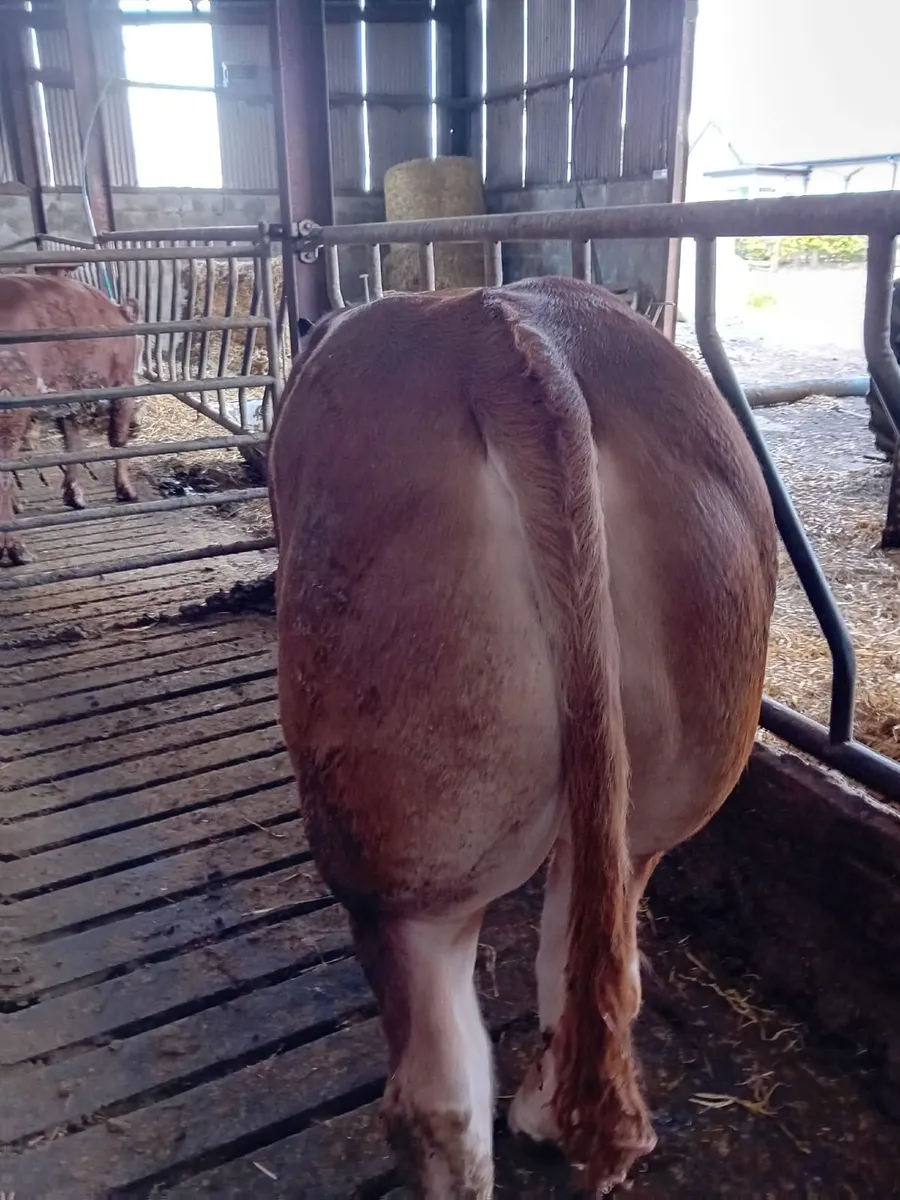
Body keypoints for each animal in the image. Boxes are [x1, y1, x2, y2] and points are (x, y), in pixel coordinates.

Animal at [0, 270, 143, 565]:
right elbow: (118, 440)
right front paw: (127, 491)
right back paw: (18, 549)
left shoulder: (66, 396)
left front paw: (74, 496)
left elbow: (73, 444)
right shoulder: (123, 384)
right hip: (11, 404)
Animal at [268, 277, 778, 1197]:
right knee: (589, 964)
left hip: (404, 864)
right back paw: (546, 1115)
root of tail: (510, 342)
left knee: (440, 1096)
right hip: (655, 796)